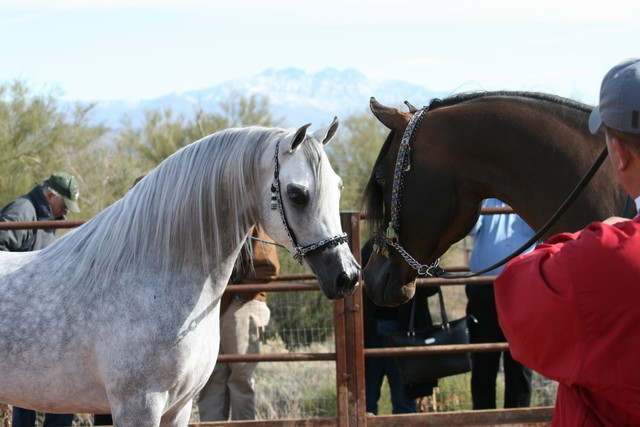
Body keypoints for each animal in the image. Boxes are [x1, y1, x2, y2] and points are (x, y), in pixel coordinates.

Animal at [0, 119, 360, 426]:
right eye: (296, 194)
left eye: (339, 186)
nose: (348, 276)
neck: (151, 274)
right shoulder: (139, 405)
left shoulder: (180, 406)